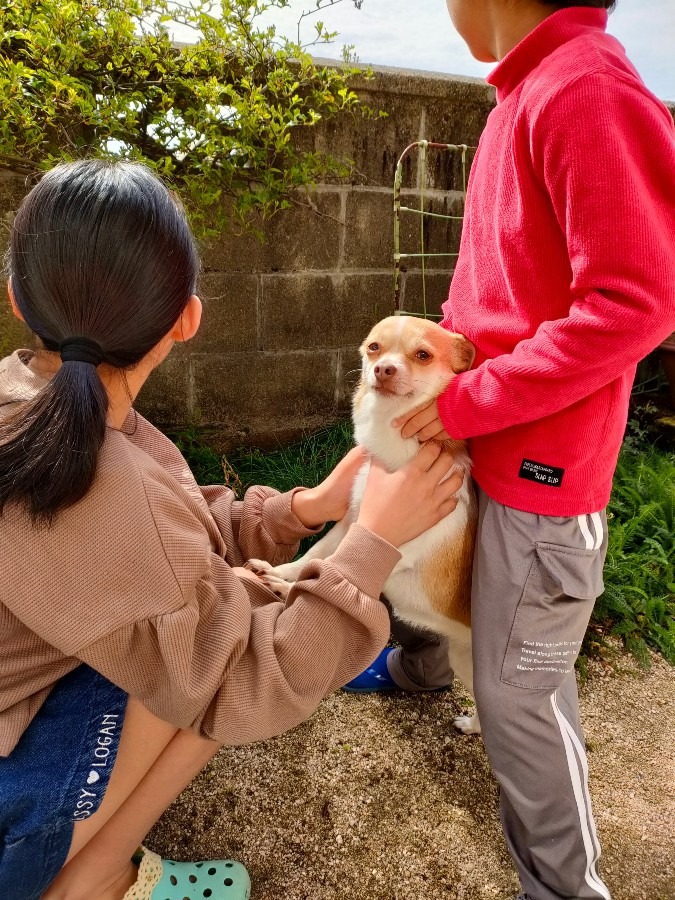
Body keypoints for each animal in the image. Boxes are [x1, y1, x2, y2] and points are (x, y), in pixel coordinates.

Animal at [251, 314, 478, 732]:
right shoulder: (350, 522)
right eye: (374, 348)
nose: (383, 369)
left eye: (422, 355)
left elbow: (322, 569)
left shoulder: (385, 546)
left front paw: (283, 587)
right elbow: (313, 557)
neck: (391, 450)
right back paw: (472, 725)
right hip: (462, 661)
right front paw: (278, 572)